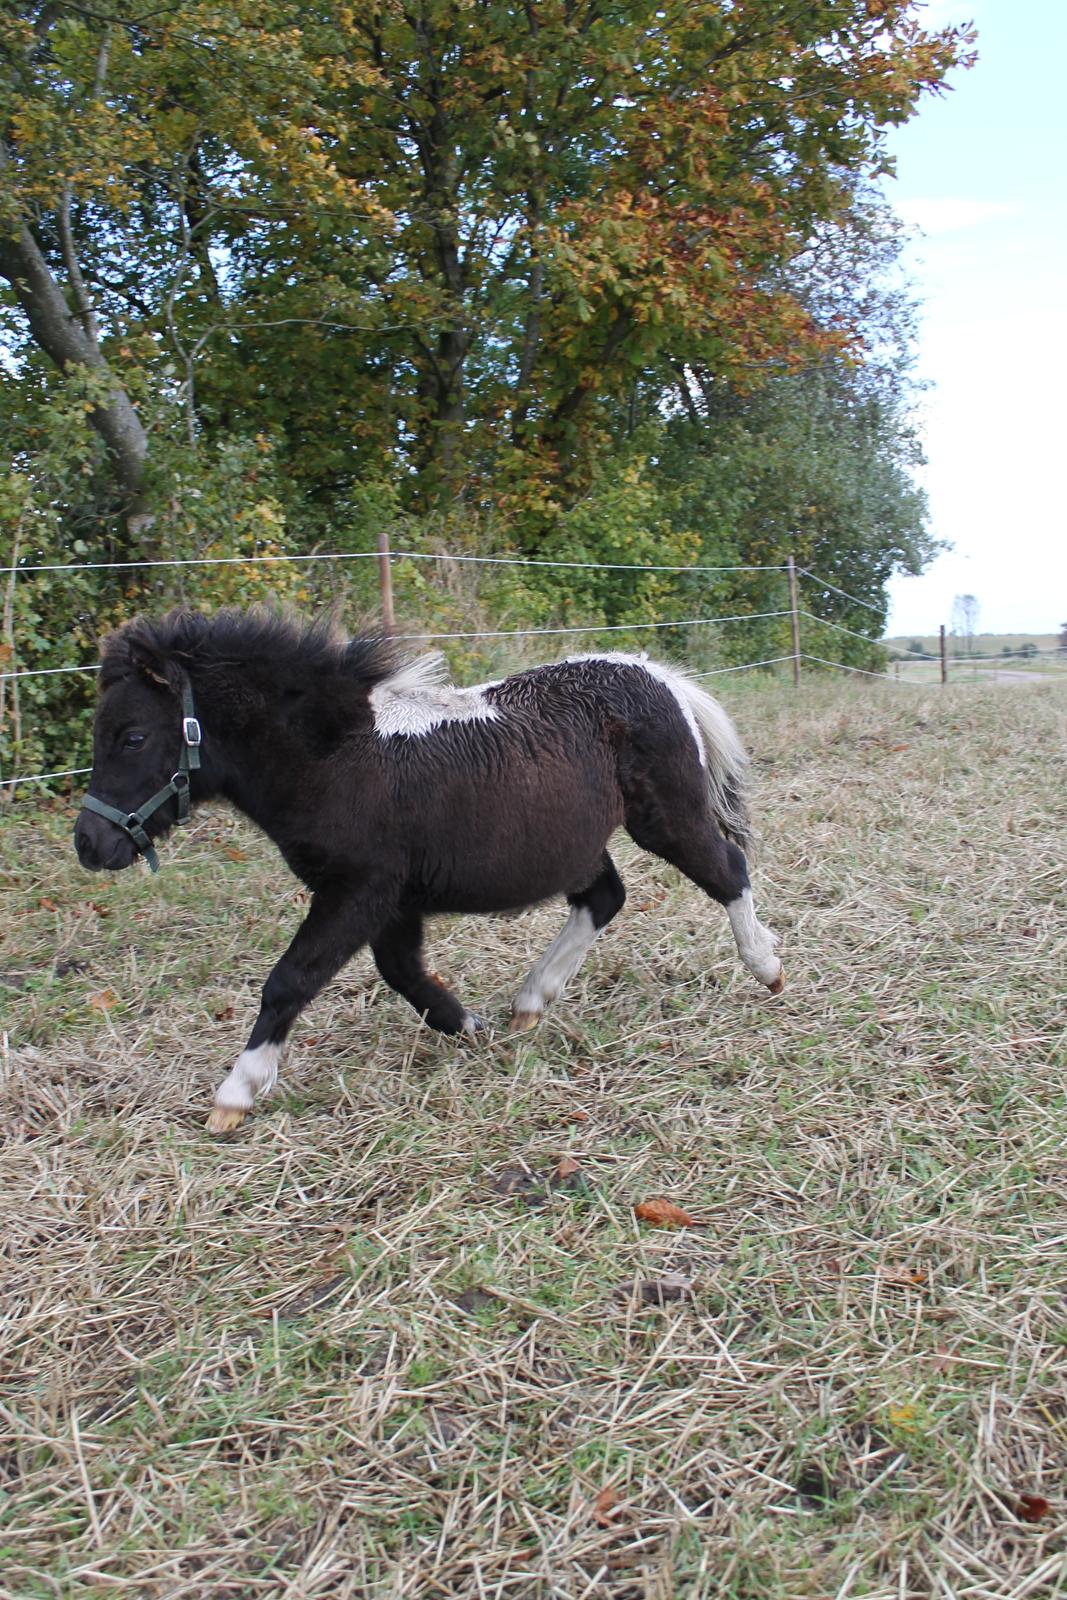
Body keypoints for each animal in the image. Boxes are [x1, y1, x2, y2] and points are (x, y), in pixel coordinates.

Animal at [70, 604, 780, 1132]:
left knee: (728, 870)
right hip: (573, 843)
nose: (90, 844)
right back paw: (530, 1002)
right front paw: (468, 1026)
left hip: (665, 818)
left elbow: (290, 980)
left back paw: (767, 968)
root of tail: (660, 677)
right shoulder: (392, 902)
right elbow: (403, 973)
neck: (337, 756)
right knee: (604, 897)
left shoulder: (359, 891)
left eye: (133, 737)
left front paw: (235, 1094)